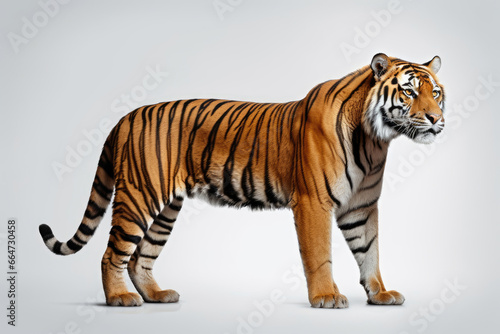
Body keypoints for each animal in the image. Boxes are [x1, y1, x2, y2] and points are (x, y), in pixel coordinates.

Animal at [40, 54, 446, 308]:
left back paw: (156, 295)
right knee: (112, 253)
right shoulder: (313, 201)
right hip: (139, 197)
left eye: (436, 92)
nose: (435, 119)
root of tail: (125, 117)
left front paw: (380, 295)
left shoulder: (361, 206)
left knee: (141, 257)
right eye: (410, 91)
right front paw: (326, 297)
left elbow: (370, 251)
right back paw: (119, 299)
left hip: (166, 209)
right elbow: (319, 254)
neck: (375, 140)